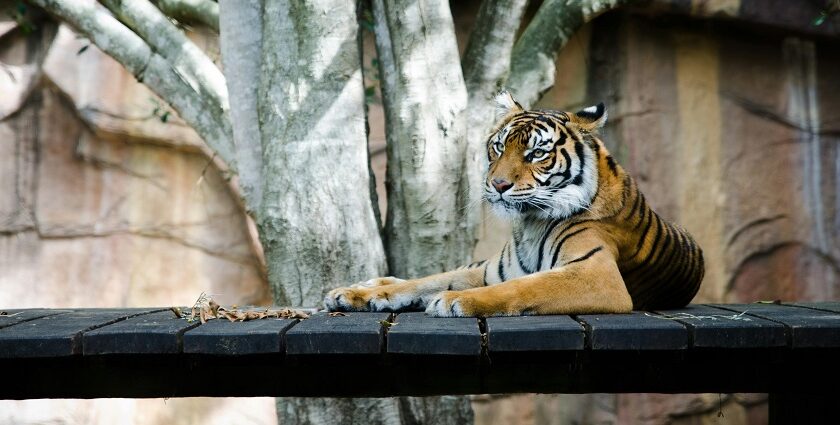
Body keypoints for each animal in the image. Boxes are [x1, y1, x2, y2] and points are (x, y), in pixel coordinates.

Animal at [322, 91, 704, 316]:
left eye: (536, 154)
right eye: (498, 147)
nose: (499, 184)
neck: (531, 222)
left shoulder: (598, 275)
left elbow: (523, 286)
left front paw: (454, 301)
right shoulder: (490, 269)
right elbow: (426, 280)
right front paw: (358, 294)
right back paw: (366, 286)